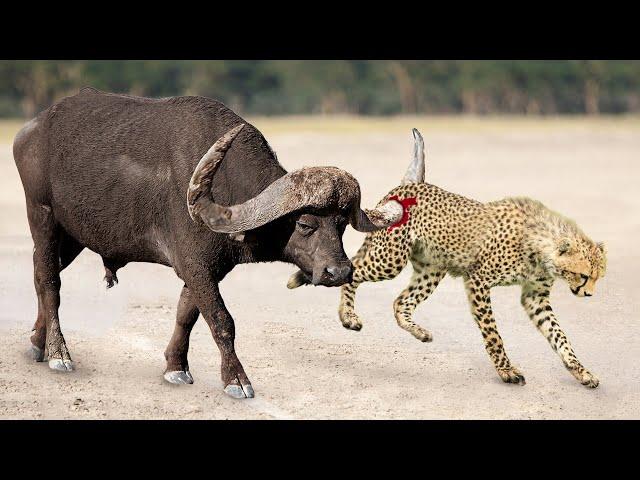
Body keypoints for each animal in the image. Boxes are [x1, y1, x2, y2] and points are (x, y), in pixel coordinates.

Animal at [13, 88, 400, 400]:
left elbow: (187, 314)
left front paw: (175, 367)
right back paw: (59, 354)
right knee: (49, 280)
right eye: (305, 224)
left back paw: (37, 343)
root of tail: (29, 131)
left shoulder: (207, 269)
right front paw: (237, 380)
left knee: (38, 275)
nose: (340, 271)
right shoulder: (194, 265)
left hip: (74, 236)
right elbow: (221, 320)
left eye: (341, 224)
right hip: (42, 215)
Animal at [288, 128, 608, 390]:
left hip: (431, 269)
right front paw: (506, 370)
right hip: (390, 259)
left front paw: (581, 372)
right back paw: (346, 315)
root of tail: (412, 184)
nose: (589, 294)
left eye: (597, 277)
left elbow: (559, 335)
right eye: (583, 275)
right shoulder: (478, 280)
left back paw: (418, 332)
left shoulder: (535, 297)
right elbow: (493, 333)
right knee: (354, 271)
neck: (543, 247)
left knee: (400, 301)